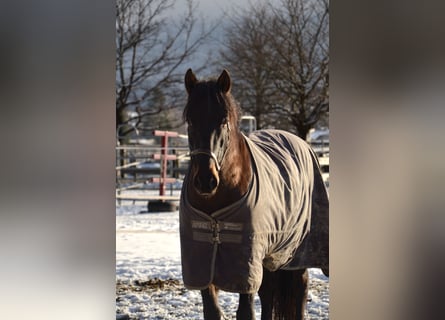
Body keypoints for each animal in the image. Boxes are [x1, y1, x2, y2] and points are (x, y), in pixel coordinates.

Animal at [179, 69, 328, 318]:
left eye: (223, 121)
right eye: (190, 120)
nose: (206, 181)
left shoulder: (245, 265)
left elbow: (246, 312)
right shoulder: (202, 264)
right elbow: (212, 311)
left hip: (297, 251)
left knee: (300, 289)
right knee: (268, 293)